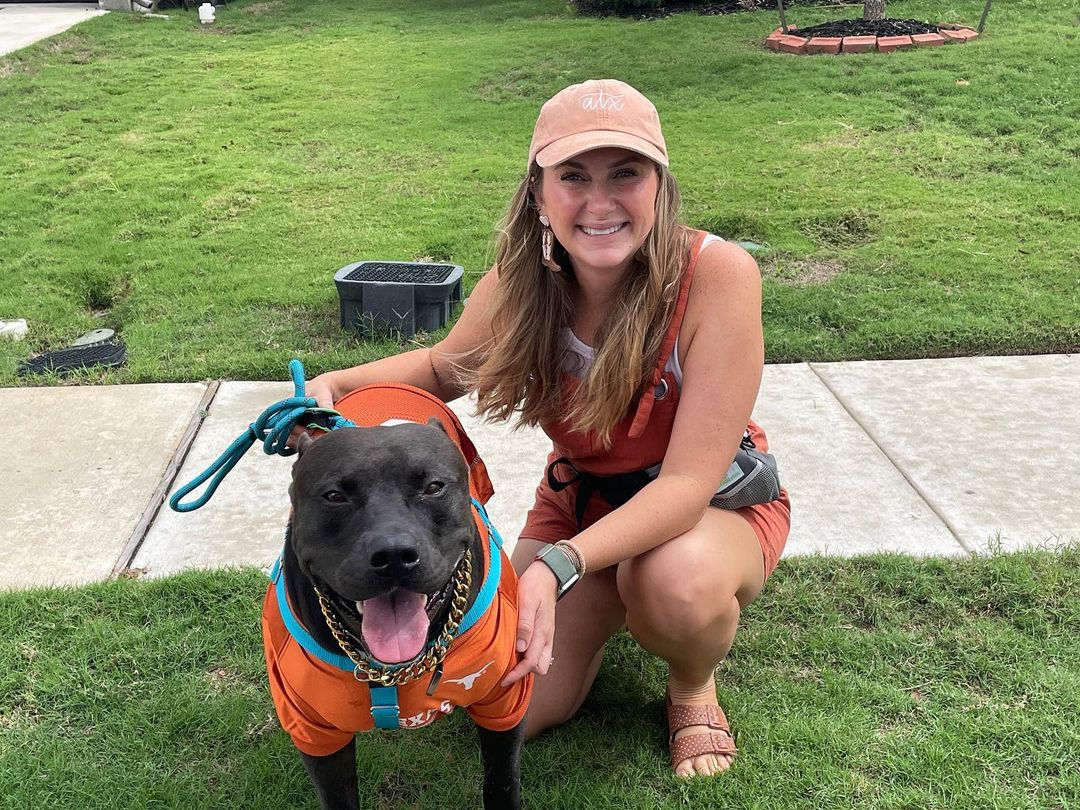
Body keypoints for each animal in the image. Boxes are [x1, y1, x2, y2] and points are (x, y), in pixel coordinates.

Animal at [265, 425, 527, 810]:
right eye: (334, 496)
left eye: (433, 487)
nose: (393, 555)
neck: (391, 670)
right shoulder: (315, 734)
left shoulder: (505, 704)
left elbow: (502, 782)